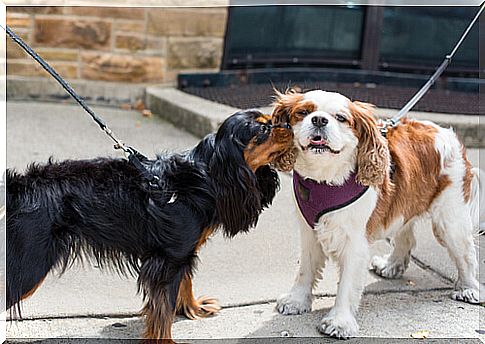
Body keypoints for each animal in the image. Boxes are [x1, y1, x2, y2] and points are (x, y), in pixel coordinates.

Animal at [6, 109, 292, 342]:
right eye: (264, 129)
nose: (288, 123)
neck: (206, 175)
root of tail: (19, 186)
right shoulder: (169, 260)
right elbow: (163, 310)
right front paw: (166, 340)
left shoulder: (181, 253)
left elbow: (183, 285)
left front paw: (192, 308)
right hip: (31, 264)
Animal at [270, 88, 482, 338]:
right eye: (303, 112)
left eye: (341, 118)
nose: (319, 120)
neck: (324, 178)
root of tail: (450, 136)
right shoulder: (309, 231)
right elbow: (306, 268)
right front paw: (296, 300)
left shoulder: (354, 242)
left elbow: (347, 284)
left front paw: (339, 322)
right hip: (405, 204)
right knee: (406, 238)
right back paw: (391, 266)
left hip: (449, 221)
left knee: (466, 254)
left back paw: (469, 289)